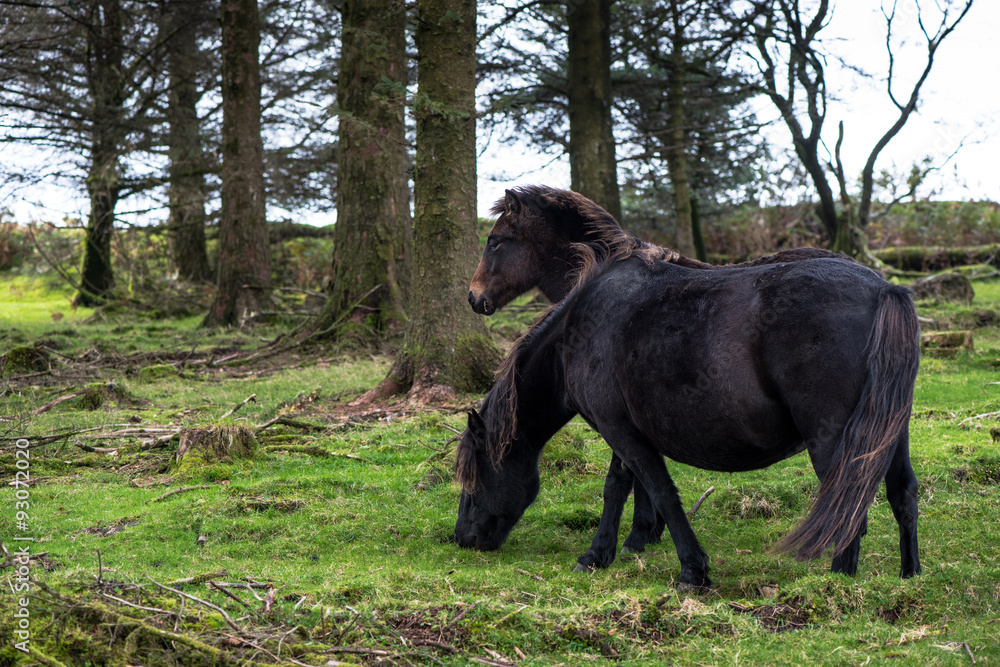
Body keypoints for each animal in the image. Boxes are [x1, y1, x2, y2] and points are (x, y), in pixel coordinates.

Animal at [455, 250, 921, 589]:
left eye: (473, 478)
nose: (462, 539)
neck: (579, 332)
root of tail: (883, 288)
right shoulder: (624, 432)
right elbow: (617, 488)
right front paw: (599, 555)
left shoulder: (622, 433)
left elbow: (661, 493)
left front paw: (692, 572)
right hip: (889, 433)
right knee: (902, 494)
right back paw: (909, 576)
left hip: (835, 442)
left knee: (848, 506)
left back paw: (837, 584)